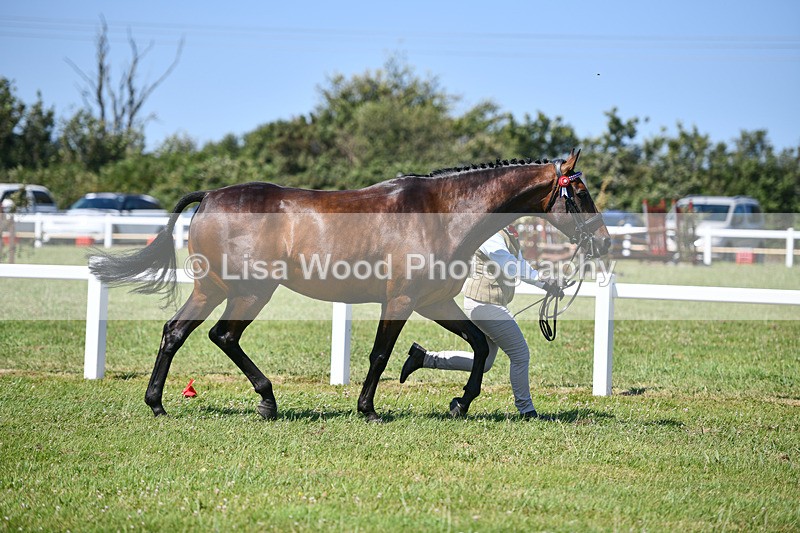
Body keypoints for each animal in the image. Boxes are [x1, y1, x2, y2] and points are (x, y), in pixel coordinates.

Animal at [89, 149, 610, 422]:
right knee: (223, 335)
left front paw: (460, 403)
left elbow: (480, 345)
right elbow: (380, 354)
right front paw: (369, 408)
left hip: (213, 288)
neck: (443, 213)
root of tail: (212, 195)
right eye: (580, 193)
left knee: (176, 333)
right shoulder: (400, 299)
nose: (604, 241)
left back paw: (158, 404)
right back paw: (267, 400)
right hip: (250, 291)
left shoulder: (436, 300)